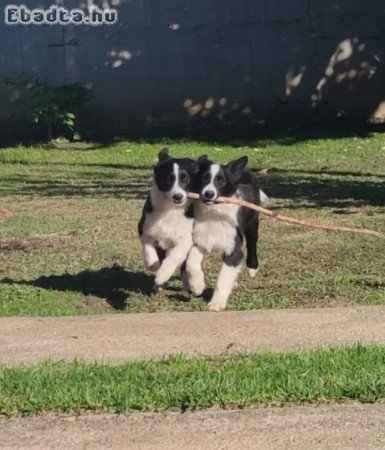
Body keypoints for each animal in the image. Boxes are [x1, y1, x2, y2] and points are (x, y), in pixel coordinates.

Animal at [138, 149, 264, 312]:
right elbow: (181, 260)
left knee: (252, 243)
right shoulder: (196, 240)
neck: (213, 214)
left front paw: (216, 303)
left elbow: (223, 277)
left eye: (221, 181)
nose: (209, 194)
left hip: (252, 222)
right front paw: (197, 285)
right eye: (204, 178)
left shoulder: (231, 247)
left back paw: (252, 269)